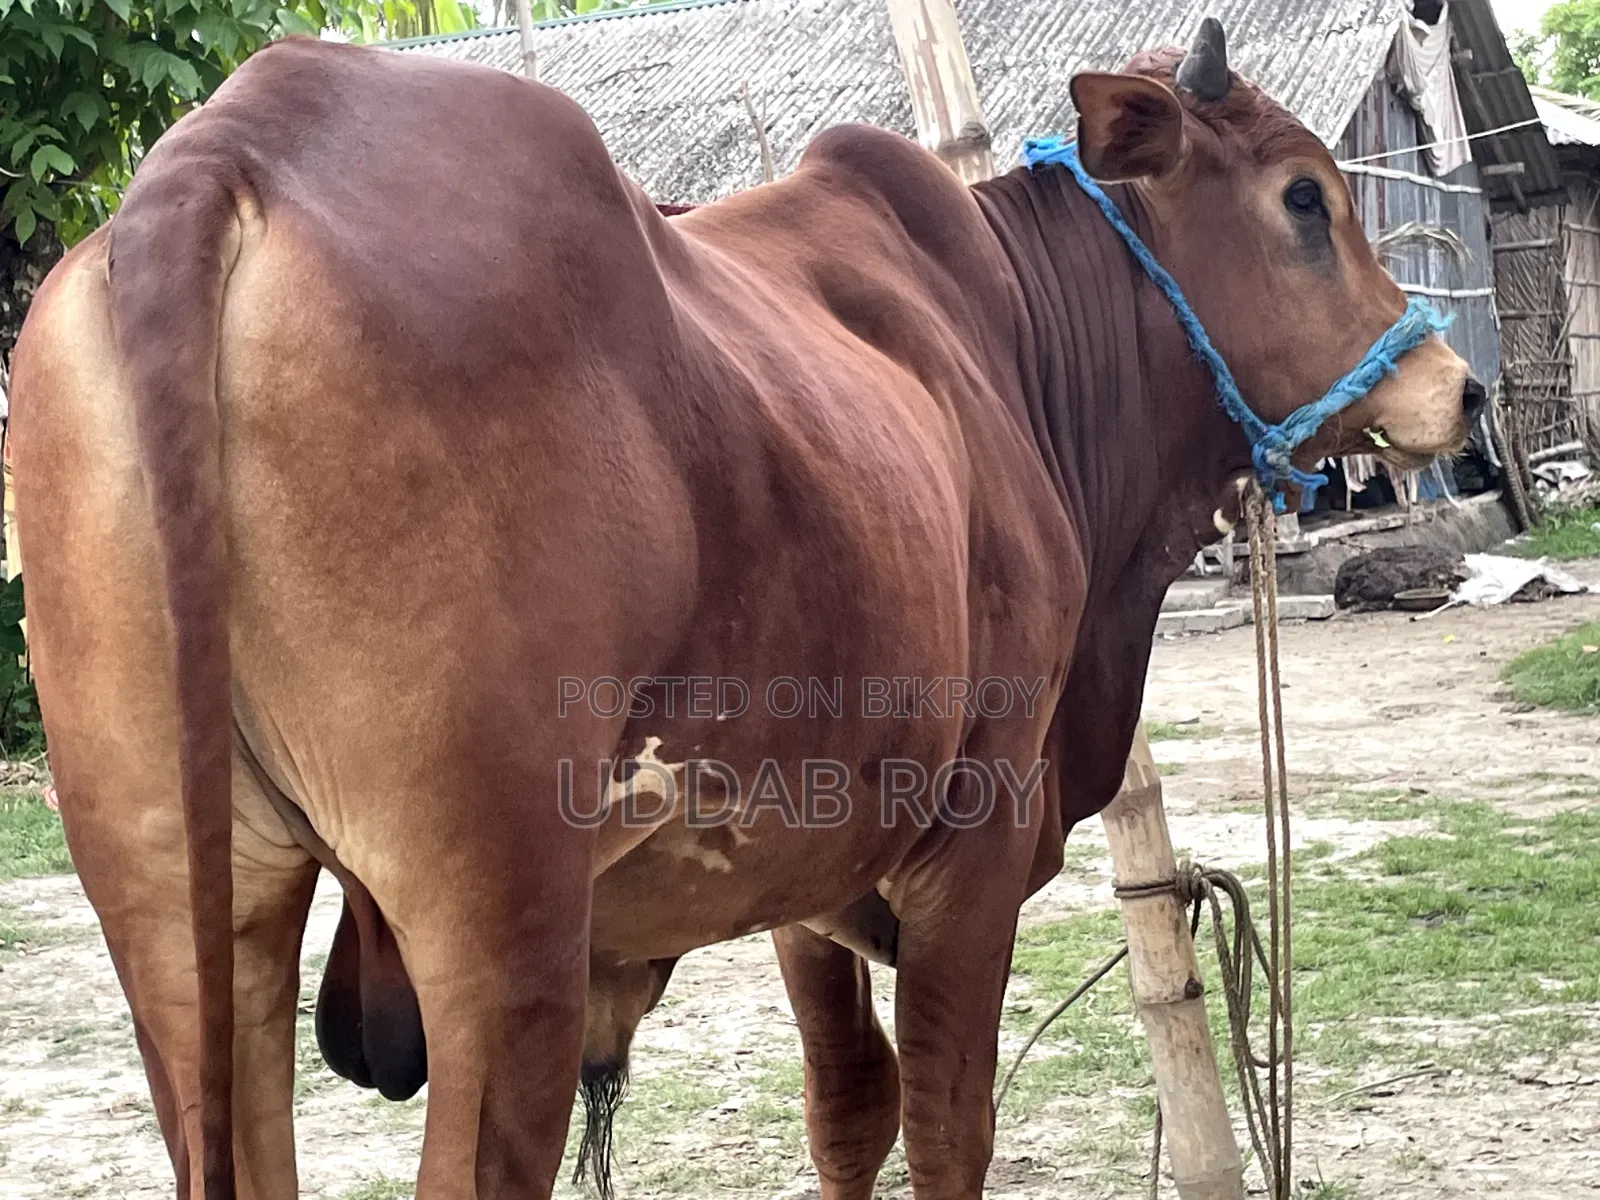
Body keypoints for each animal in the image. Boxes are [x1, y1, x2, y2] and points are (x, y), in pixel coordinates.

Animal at [8, 19, 1479, 1200]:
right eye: (1305, 198)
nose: (1459, 391)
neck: (1016, 347)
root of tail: (225, 150)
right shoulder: (975, 845)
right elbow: (948, 1127)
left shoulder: (802, 876)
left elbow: (848, 1111)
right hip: (501, 941)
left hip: (176, 912)